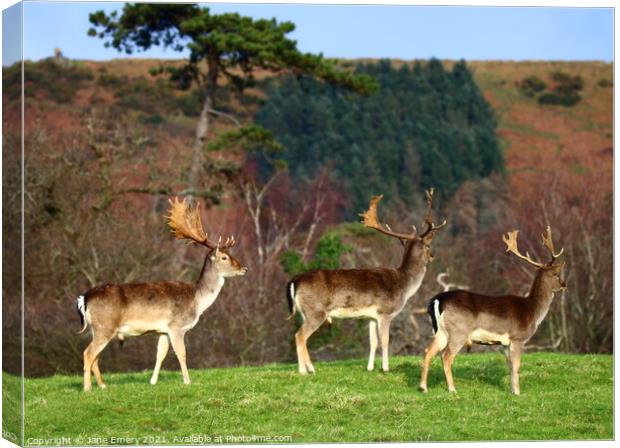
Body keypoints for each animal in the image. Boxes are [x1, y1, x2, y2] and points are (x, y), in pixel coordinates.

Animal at [78, 198, 248, 390]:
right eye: (224, 257)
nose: (244, 268)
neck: (196, 300)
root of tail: (84, 298)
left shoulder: (163, 330)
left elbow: (160, 354)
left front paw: (152, 381)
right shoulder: (177, 326)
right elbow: (181, 353)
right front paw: (187, 381)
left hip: (98, 328)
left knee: (95, 357)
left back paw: (103, 386)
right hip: (105, 326)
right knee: (88, 353)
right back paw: (87, 389)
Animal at [286, 189, 446, 374]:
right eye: (427, 246)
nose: (432, 256)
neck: (404, 285)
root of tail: (294, 281)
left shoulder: (370, 316)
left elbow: (373, 341)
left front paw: (369, 368)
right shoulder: (385, 312)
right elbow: (385, 340)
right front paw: (385, 368)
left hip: (305, 312)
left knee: (300, 335)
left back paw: (309, 368)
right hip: (316, 311)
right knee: (300, 335)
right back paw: (305, 370)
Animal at [418, 226, 564, 394]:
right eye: (556, 274)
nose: (564, 285)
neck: (532, 310)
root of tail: (438, 300)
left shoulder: (505, 343)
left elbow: (509, 366)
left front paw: (512, 391)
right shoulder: (517, 337)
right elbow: (516, 366)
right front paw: (518, 393)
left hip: (441, 331)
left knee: (428, 351)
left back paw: (423, 387)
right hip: (459, 331)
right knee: (446, 356)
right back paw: (452, 389)